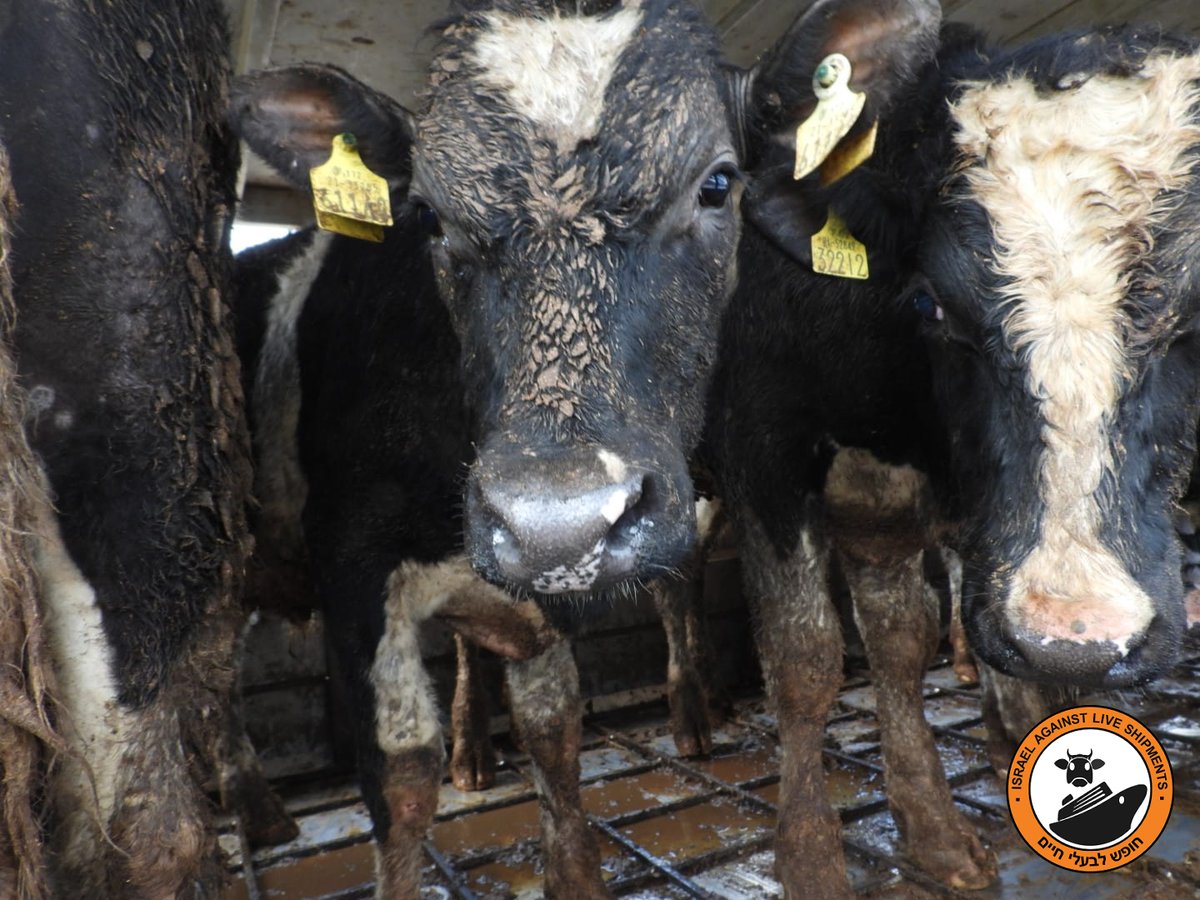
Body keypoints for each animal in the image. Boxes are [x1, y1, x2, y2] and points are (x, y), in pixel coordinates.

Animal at [229, 1, 950, 896]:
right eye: (428, 216)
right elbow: (399, 778)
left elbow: (554, 731)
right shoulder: (352, 567)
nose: (557, 524)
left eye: (718, 183)